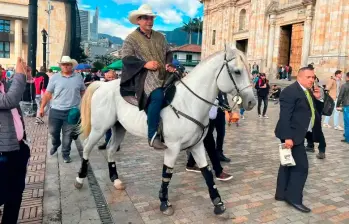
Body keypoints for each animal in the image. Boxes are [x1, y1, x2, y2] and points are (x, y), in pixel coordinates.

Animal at [75, 46, 254, 216]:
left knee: (111, 149)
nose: (251, 102)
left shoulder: (197, 145)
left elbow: (207, 173)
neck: (189, 102)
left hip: (119, 127)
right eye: (237, 71)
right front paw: (164, 203)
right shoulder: (172, 147)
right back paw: (80, 178)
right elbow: (167, 174)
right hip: (99, 128)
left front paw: (218, 204)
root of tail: (103, 84)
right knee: (86, 147)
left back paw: (115, 180)